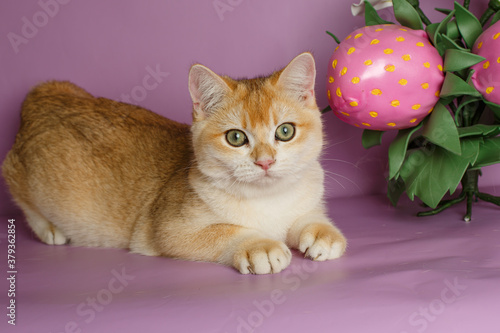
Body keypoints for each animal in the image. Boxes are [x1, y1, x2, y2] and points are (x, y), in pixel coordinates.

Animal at [2, 53, 348, 274]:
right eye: (236, 138)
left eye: (285, 131)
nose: (265, 161)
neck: (268, 200)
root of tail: (43, 97)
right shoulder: (166, 228)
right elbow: (225, 230)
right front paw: (259, 245)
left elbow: (307, 218)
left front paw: (322, 233)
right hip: (23, 177)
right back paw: (49, 228)